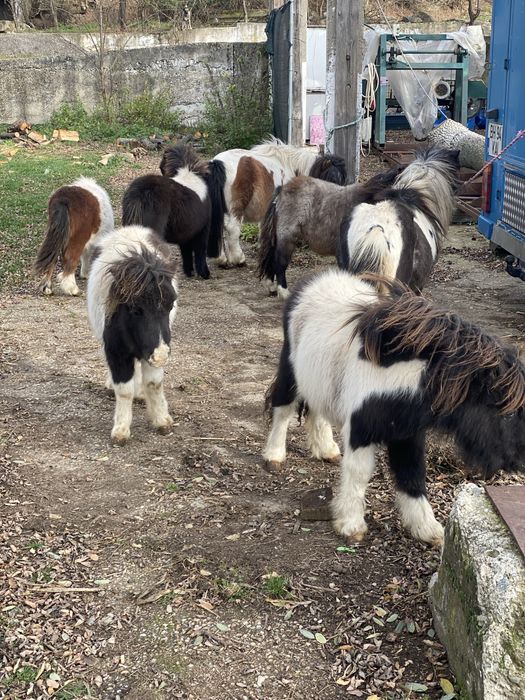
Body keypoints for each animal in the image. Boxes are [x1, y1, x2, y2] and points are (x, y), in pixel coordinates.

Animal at [87, 225, 178, 445]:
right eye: (136, 309)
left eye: (170, 304)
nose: (161, 355)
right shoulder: (117, 353)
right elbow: (124, 390)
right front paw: (121, 431)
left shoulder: (150, 353)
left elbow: (154, 383)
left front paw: (162, 420)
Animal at [122, 144, 226, 280]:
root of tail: (141, 193)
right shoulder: (202, 229)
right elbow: (200, 250)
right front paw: (204, 273)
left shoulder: (186, 232)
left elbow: (186, 252)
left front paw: (189, 272)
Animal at [160, 137, 347, 267]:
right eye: (332, 179)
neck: (292, 168)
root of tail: (217, 164)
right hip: (236, 209)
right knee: (232, 230)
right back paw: (238, 259)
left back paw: (222, 259)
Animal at [263, 269, 525, 547]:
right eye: (507, 413)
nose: (519, 463)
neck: (406, 376)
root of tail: (311, 283)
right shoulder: (361, 431)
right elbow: (359, 473)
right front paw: (351, 525)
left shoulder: (407, 435)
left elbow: (412, 473)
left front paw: (427, 529)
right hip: (290, 372)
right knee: (283, 409)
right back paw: (274, 456)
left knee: (317, 408)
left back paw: (326, 450)